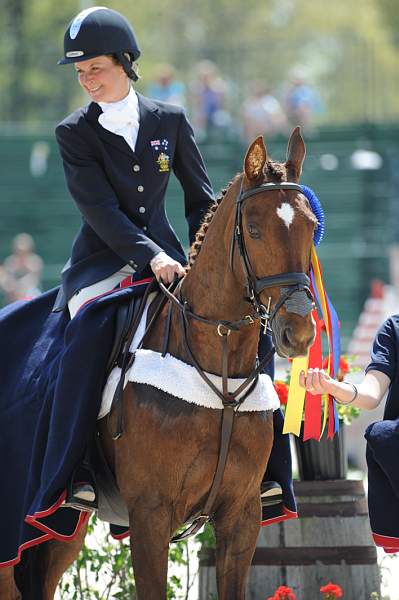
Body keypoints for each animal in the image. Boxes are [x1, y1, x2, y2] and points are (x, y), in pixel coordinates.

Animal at [1, 130, 318, 600]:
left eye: (311, 227)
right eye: (254, 230)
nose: (298, 332)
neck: (220, 377)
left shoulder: (242, 515)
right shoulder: (151, 514)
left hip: (58, 530)